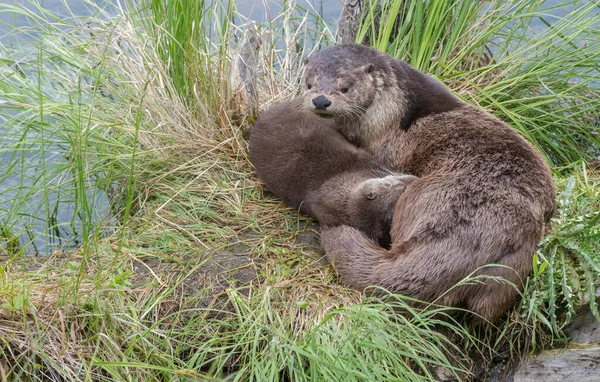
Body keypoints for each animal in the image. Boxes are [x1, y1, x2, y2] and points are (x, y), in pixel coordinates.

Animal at [302, 43, 556, 320]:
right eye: (309, 84)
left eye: (345, 87)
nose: (321, 100)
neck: (388, 113)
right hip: (507, 275)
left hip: (421, 193)